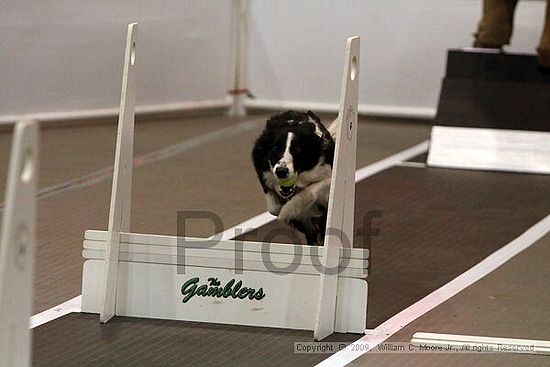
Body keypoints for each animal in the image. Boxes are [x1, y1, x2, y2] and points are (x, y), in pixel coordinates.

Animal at [253, 110, 338, 246]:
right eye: (275, 148)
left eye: (297, 149)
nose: (281, 171)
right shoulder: (262, 168)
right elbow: (273, 207)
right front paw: (281, 208)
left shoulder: (329, 176)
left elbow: (309, 191)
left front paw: (287, 211)